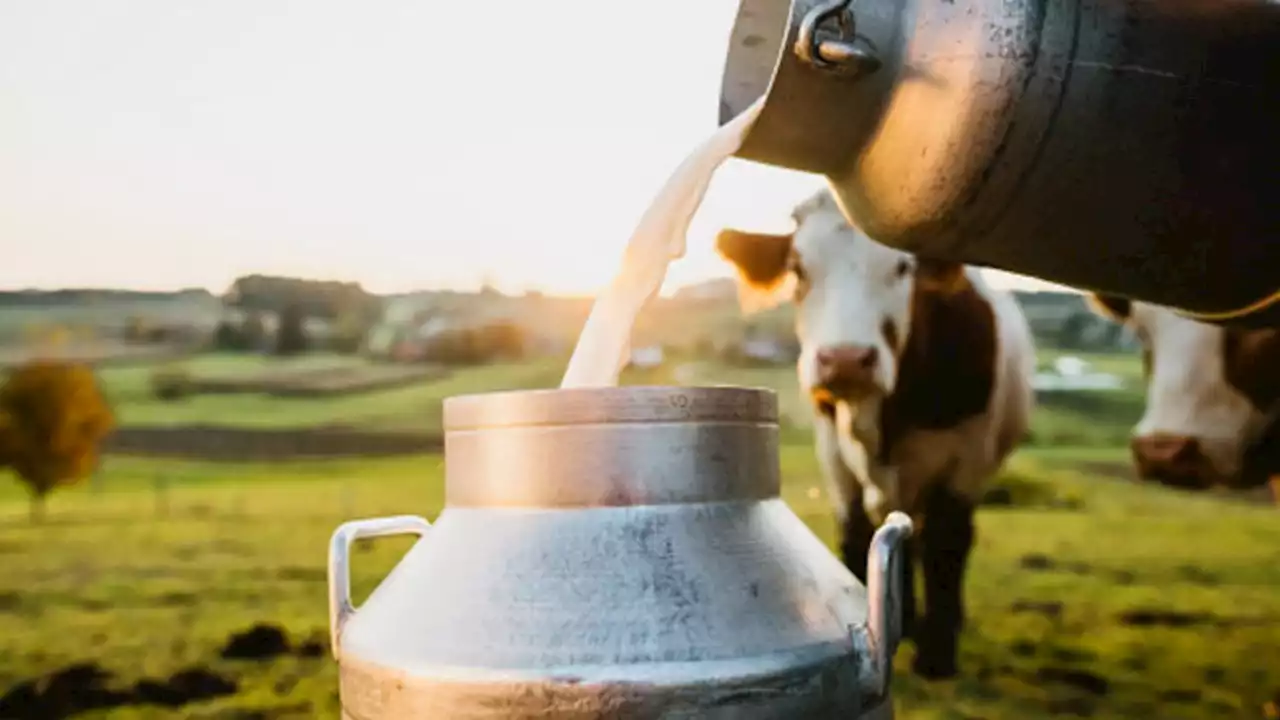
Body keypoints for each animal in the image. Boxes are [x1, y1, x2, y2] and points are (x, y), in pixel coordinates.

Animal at [716, 188, 1034, 676]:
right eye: (798, 268)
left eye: (903, 268)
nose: (845, 360)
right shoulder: (833, 454)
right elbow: (856, 536)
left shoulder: (968, 459)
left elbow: (947, 542)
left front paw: (938, 653)